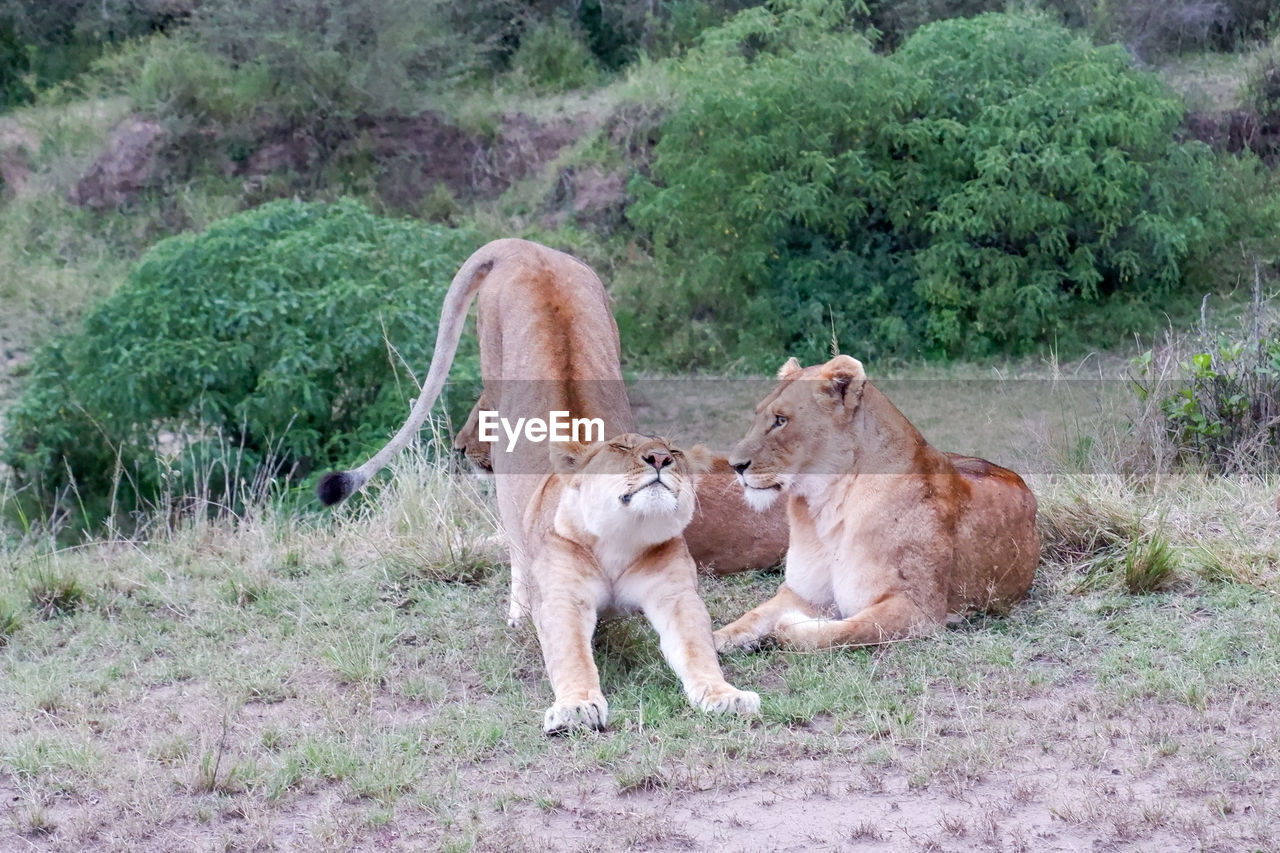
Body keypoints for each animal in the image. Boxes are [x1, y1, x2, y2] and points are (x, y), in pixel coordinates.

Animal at [524, 432, 752, 732]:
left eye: (674, 451)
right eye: (621, 446)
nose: (659, 458)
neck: (622, 537)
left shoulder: (676, 596)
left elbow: (697, 649)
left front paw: (725, 696)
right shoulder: (564, 598)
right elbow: (572, 656)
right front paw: (576, 707)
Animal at [716, 356, 1034, 648]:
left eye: (781, 420)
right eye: (757, 416)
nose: (735, 466)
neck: (826, 506)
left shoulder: (918, 609)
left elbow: (831, 633)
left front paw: (787, 626)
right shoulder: (802, 592)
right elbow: (755, 615)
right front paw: (719, 640)